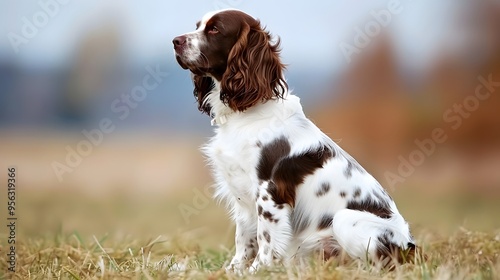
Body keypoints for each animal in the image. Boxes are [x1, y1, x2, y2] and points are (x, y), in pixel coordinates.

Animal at [174, 9, 416, 274]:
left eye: (215, 29)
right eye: (198, 25)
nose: (175, 41)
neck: (246, 113)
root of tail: (409, 245)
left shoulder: (269, 191)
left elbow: (266, 238)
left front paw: (258, 271)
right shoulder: (242, 194)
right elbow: (243, 237)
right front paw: (232, 270)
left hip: (345, 220)